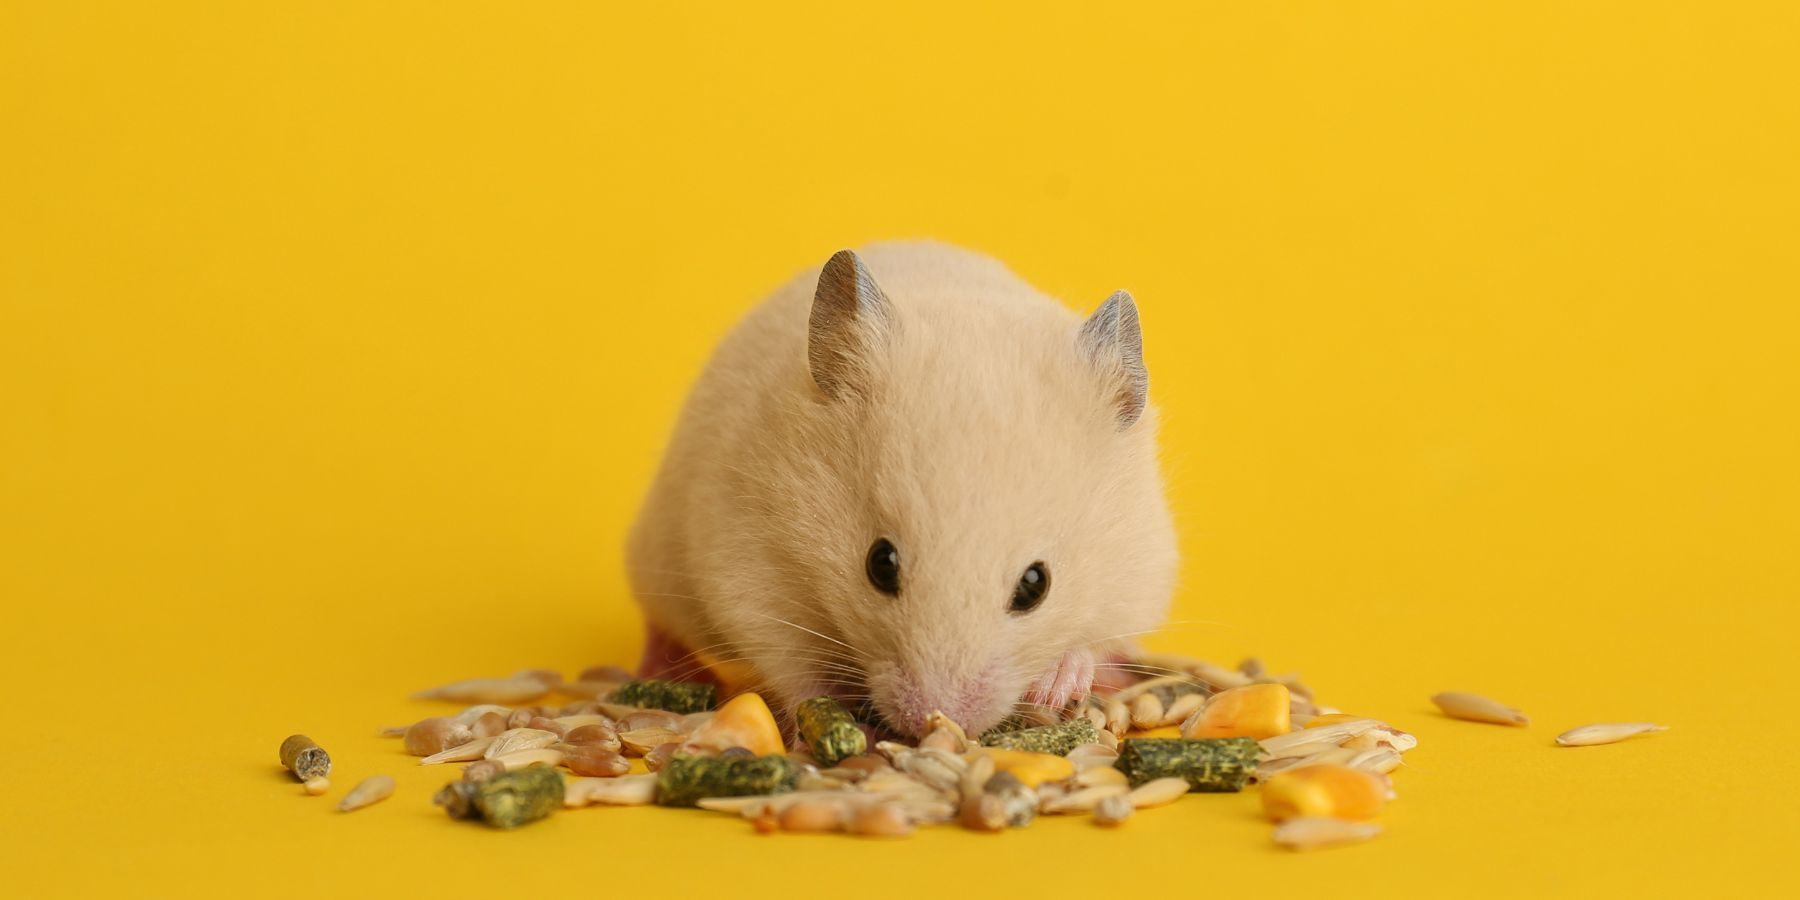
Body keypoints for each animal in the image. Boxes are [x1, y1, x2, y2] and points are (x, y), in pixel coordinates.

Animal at [626, 241, 1177, 737]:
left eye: (1035, 585)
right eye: (880, 564)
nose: (932, 719)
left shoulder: (1137, 576)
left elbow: (1090, 640)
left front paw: (1057, 688)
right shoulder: (751, 572)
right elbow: (795, 670)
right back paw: (660, 672)